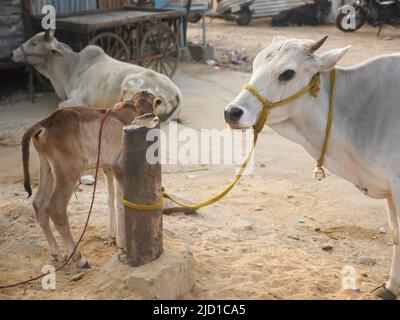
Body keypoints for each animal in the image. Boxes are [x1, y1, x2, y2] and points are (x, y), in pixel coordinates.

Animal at [11, 30, 181, 121]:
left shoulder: (78, 100)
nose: (13, 53)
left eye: (34, 43)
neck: (71, 68)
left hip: (131, 85)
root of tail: (176, 92)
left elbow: (60, 106)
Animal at [22, 90, 160, 268]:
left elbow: (111, 200)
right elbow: (120, 204)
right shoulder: (120, 167)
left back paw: (57, 253)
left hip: (47, 169)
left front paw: (113, 236)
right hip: (68, 172)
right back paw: (79, 258)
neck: (136, 110)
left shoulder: (107, 168)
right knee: (56, 208)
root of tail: (46, 122)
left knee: (38, 204)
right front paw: (123, 244)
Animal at [225, 35, 400, 300]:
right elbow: (395, 234)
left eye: (287, 73)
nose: (232, 112)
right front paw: (391, 287)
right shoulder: (389, 188)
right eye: (254, 65)